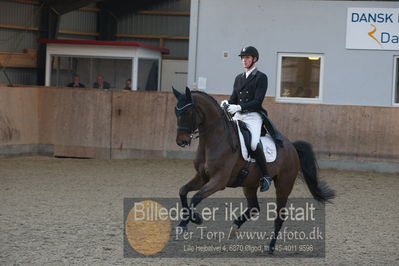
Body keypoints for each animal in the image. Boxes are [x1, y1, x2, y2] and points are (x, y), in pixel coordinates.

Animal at [173, 87, 336, 254]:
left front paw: (193, 220)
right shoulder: (202, 177)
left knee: (279, 216)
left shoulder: (218, 181)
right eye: (176, 112)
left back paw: (270, 247)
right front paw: (185, 223)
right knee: (254, 208)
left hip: (283, 185)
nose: (181, 142)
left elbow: (196, 198)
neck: (214, 141)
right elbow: (183, 191)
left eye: (187, 112)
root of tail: (291, 146)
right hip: (249, 184)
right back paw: (235, 227)